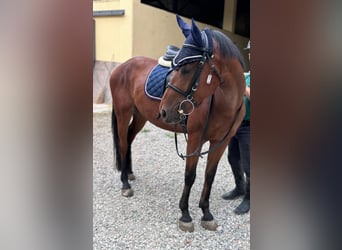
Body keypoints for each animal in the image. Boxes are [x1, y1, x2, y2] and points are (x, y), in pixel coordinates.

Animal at [109, 14, 246, 231]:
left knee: (129, 139)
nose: (164, 110)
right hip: (123, 113)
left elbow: (209, 175)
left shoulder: (221, 142)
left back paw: (129, 173)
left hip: (140, 116)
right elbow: (190, 175)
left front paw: (206, 213)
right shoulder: (195, 139)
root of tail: (122, 66)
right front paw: (185, 215)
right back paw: (125, 184)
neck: (224, 102)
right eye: (175, 66)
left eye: (187, 68)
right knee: (122, 143)